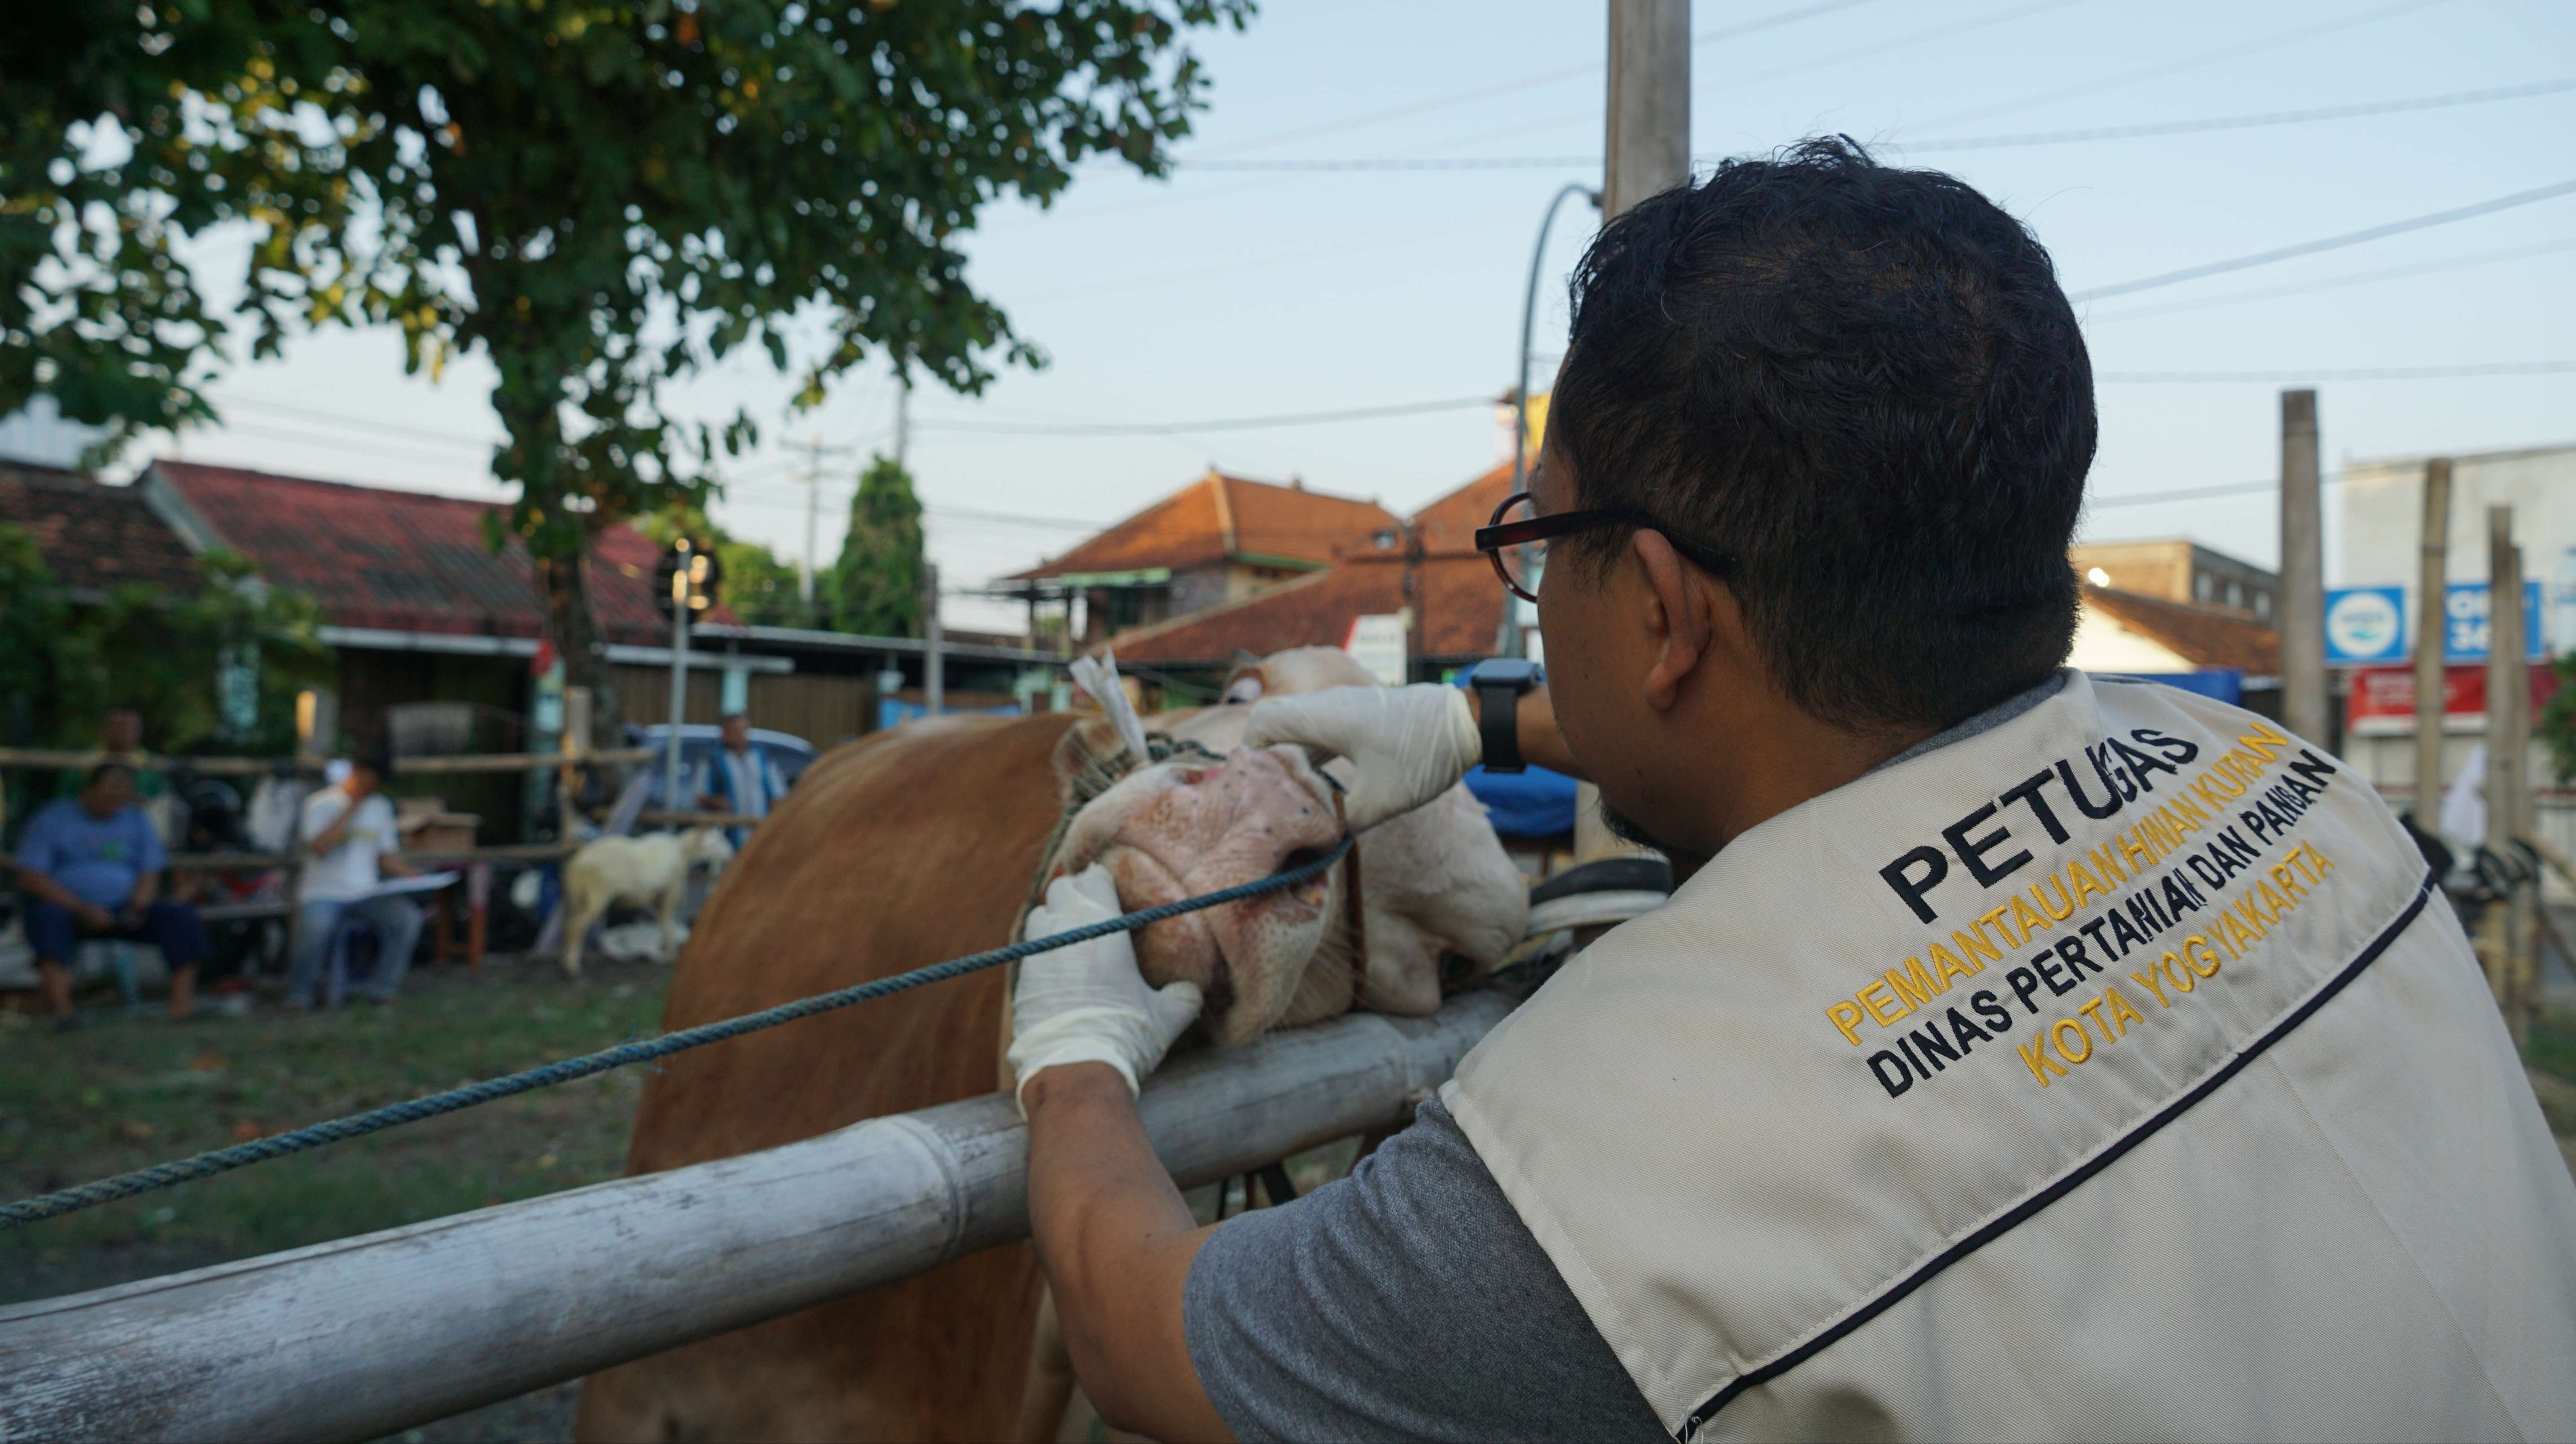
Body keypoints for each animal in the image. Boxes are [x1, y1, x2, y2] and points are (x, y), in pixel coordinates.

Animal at [559, 830, 732, 974]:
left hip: (578, 897)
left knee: (569, 925)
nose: (730, 853)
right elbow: (668, 924)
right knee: (576, 927)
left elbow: (662, 922)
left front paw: (667, 951)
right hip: (598, 894)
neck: (682, 852)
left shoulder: (656, 898)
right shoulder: (671, 892)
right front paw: (672, 954)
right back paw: (572, 967)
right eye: (713, 844)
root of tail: (577, 863)